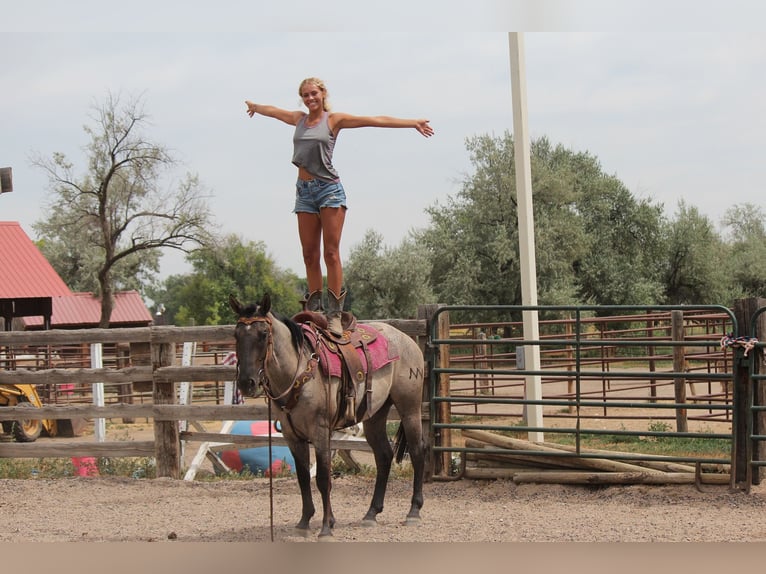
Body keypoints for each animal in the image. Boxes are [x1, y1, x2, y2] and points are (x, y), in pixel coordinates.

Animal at [229, 293, 426, 538]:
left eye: (263, 334)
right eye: (236, 334)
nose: (247, 383)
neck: (297, 371)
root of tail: (407, 339)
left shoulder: (320, 432)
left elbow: (323, 478)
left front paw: (325, 527)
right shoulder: (293, 437)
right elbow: (303, 477)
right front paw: (305, 522)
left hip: (410, 408)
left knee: (417, 451)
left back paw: (414, 511)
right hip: (375, 416)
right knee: (383, 456)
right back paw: (371, 513)